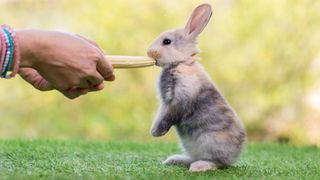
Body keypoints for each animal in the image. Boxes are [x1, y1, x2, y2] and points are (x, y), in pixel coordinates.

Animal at [146, 3, 246, 172]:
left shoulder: (178, 98)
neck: (181, 62)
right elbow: (161, 115)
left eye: (167, 41)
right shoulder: (164, 103)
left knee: (216, 163)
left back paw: (198, 167)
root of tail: (234, 156)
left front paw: (156, 133)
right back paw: (173, 160)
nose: (149, 52)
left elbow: (169, 115)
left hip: (209, 142)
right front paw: (154, 131)